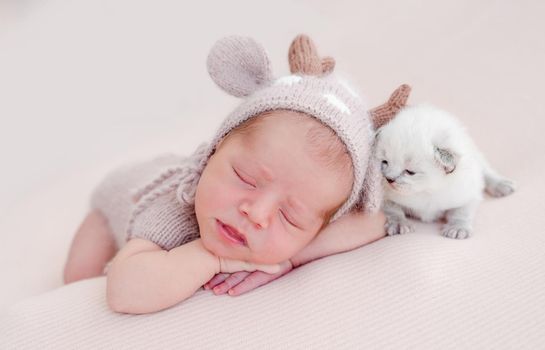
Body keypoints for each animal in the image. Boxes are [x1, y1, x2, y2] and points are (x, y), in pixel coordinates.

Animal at [374, 103, 516, 238]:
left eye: (410, 172)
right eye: (384, 162)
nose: (389, 179)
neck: (427, 191)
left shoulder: (468, 192)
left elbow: (462, 211)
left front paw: (458, 228)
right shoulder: (385, 196)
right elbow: (392, 208)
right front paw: (399, 223)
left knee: (486, 171)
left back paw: (501, 185)